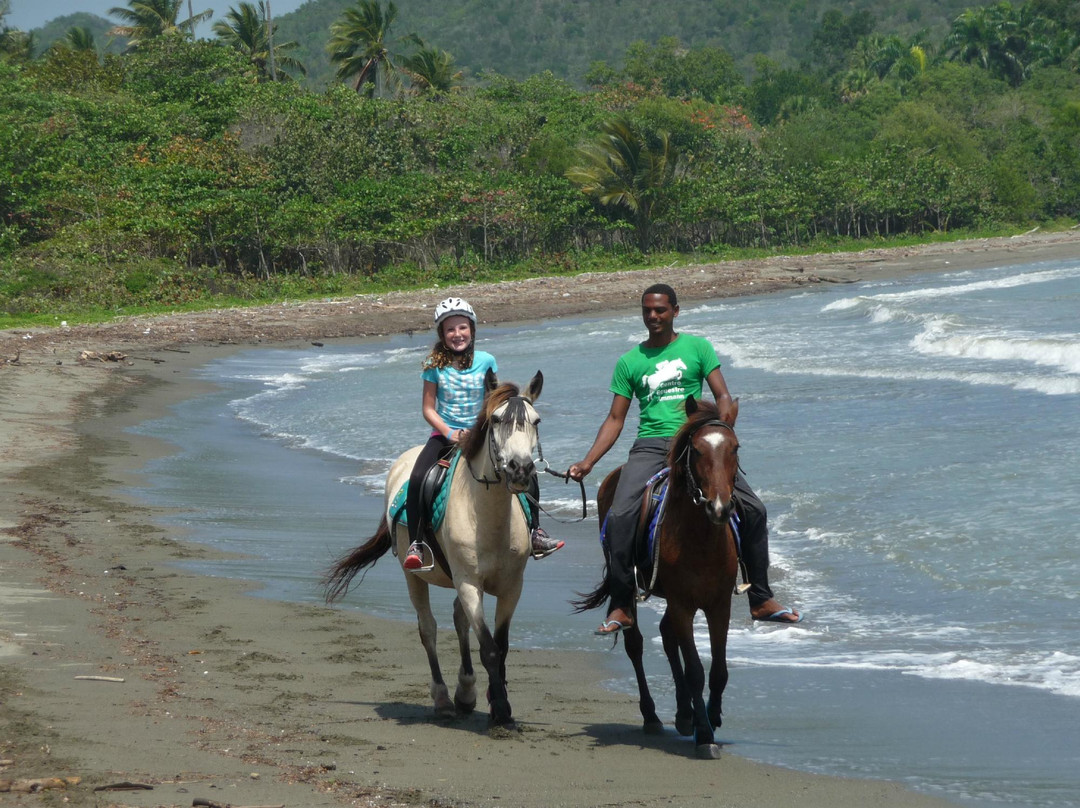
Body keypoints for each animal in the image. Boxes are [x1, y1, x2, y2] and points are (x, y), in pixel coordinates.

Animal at [317, 369, 540, 730]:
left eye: (536, 420)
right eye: (495, 419)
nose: (520, 469)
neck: (487, 517)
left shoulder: (511, 587)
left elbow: (501, 645)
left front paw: (496, 703)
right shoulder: (468, 583)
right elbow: (489, 648)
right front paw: (501, 711)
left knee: (458, 621)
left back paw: (466, 692)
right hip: (415, 576)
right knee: (429, 629)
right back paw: (444, 699)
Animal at [574, 395, 743, 756]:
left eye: (734, 448)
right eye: (698, 451)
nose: (720, 508)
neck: (701, 538)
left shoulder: (719, 604)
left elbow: (718, 670)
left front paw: (711, 717)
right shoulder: (683, 603)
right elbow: (695, 670)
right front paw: (705, 736)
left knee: (666, 635)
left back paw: (684, 714)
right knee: (636, 644)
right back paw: (653, 716)